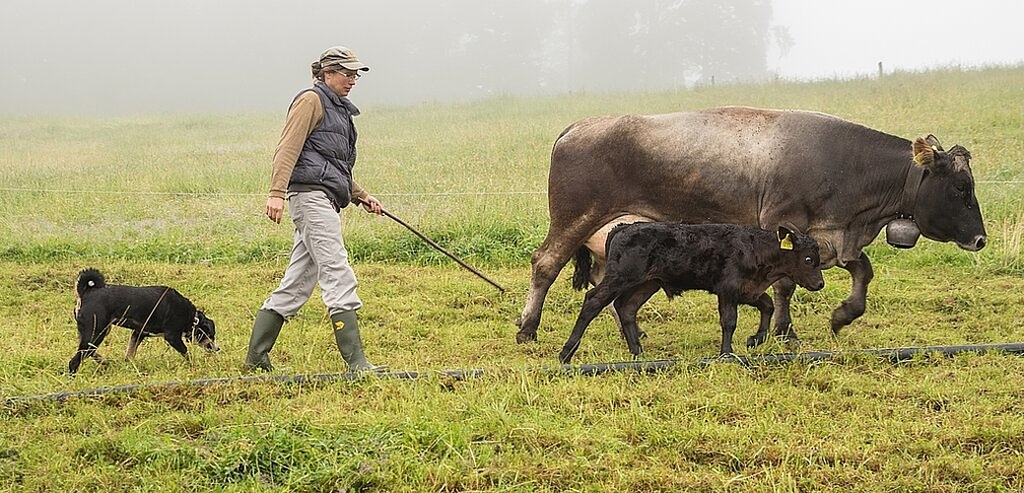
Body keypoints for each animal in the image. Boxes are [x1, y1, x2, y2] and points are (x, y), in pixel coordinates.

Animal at [69, 268, 220, 373]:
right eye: (211, 335)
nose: (217, 348)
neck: (191, 317)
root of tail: (87, 293)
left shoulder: (138, 333)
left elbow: (129, 354)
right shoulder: (172, 337)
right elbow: (186, 353)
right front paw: (193, 365)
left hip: (98, 332)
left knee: (89, 352)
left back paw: (104, 361)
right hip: (95, 332)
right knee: (75, 360)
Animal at [516, 106, 987, 346]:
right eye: (961, 188)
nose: (980, 239)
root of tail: (578, 125)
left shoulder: (833, 237)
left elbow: (862, 271)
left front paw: (843, 314)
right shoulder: (786, 224)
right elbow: (786, 285)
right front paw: (783, 331)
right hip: (574, 218)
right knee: (545, 264)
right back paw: (527, 328)